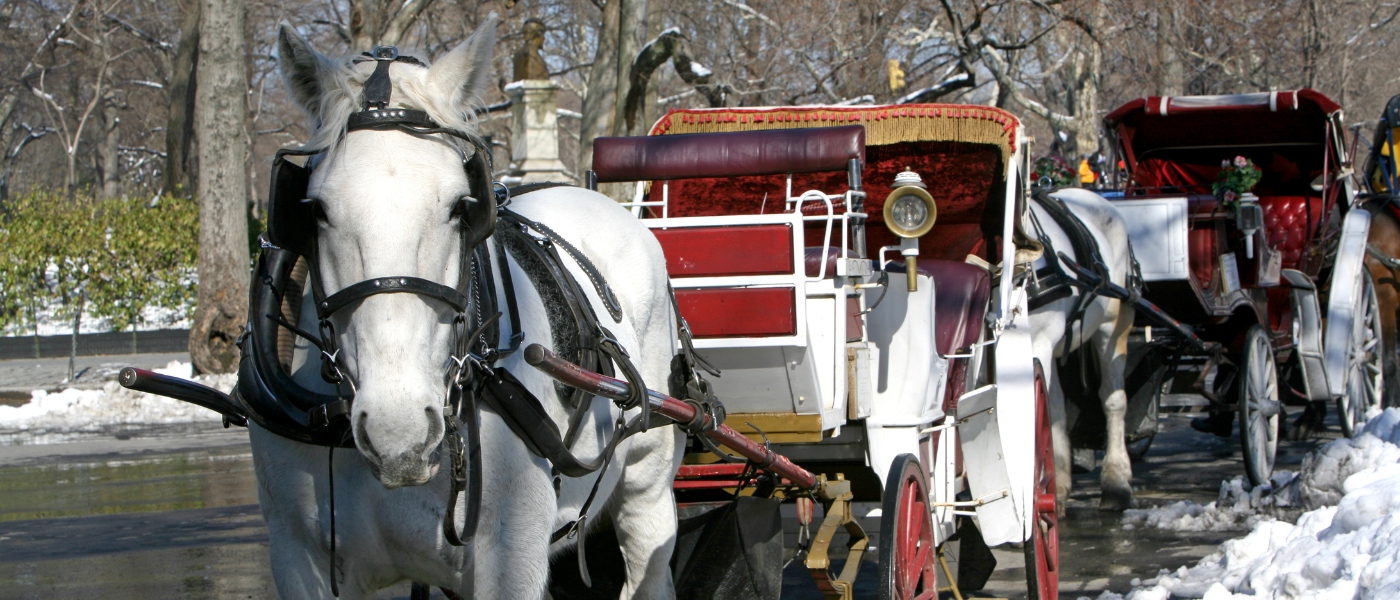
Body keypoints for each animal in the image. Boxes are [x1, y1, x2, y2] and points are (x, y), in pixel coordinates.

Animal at [253, 20, 684, 599]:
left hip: (648, 482)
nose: (398, 432)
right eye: (313, 210)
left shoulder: (510, 555)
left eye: (462, 206)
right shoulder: (296, 555)